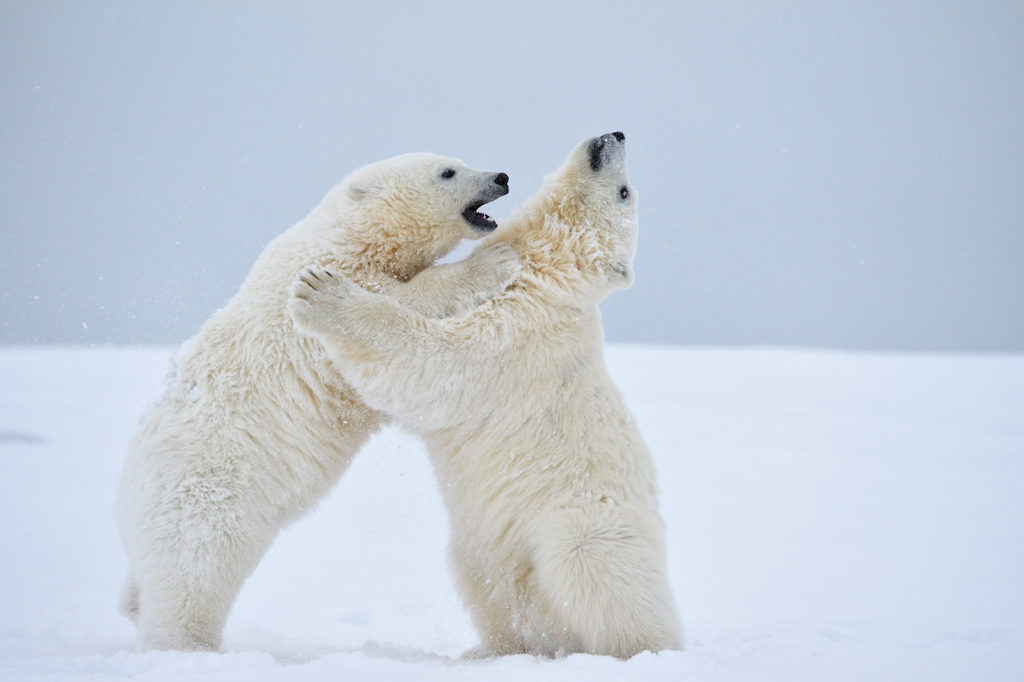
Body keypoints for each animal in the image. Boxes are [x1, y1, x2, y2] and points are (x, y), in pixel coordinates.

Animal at [117, 151, 520, 651]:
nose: (501, 177)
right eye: (447, 171)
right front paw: (496, 261)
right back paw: (187, 642)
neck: (351, 233)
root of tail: (125, 501)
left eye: (459, 160)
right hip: (202, 493)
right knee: (194, 569)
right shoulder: (326, 278)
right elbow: (402, 300)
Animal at [290, 130, 679, 655]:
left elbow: (436, 367)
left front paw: (323, 294)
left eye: (624, 193)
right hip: (481, 545)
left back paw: (633, 649)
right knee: (482, 582)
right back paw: (492, 649)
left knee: (597, 573)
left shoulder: (520, 334)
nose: (616, 135)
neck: (548, 273)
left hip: (580, 520)